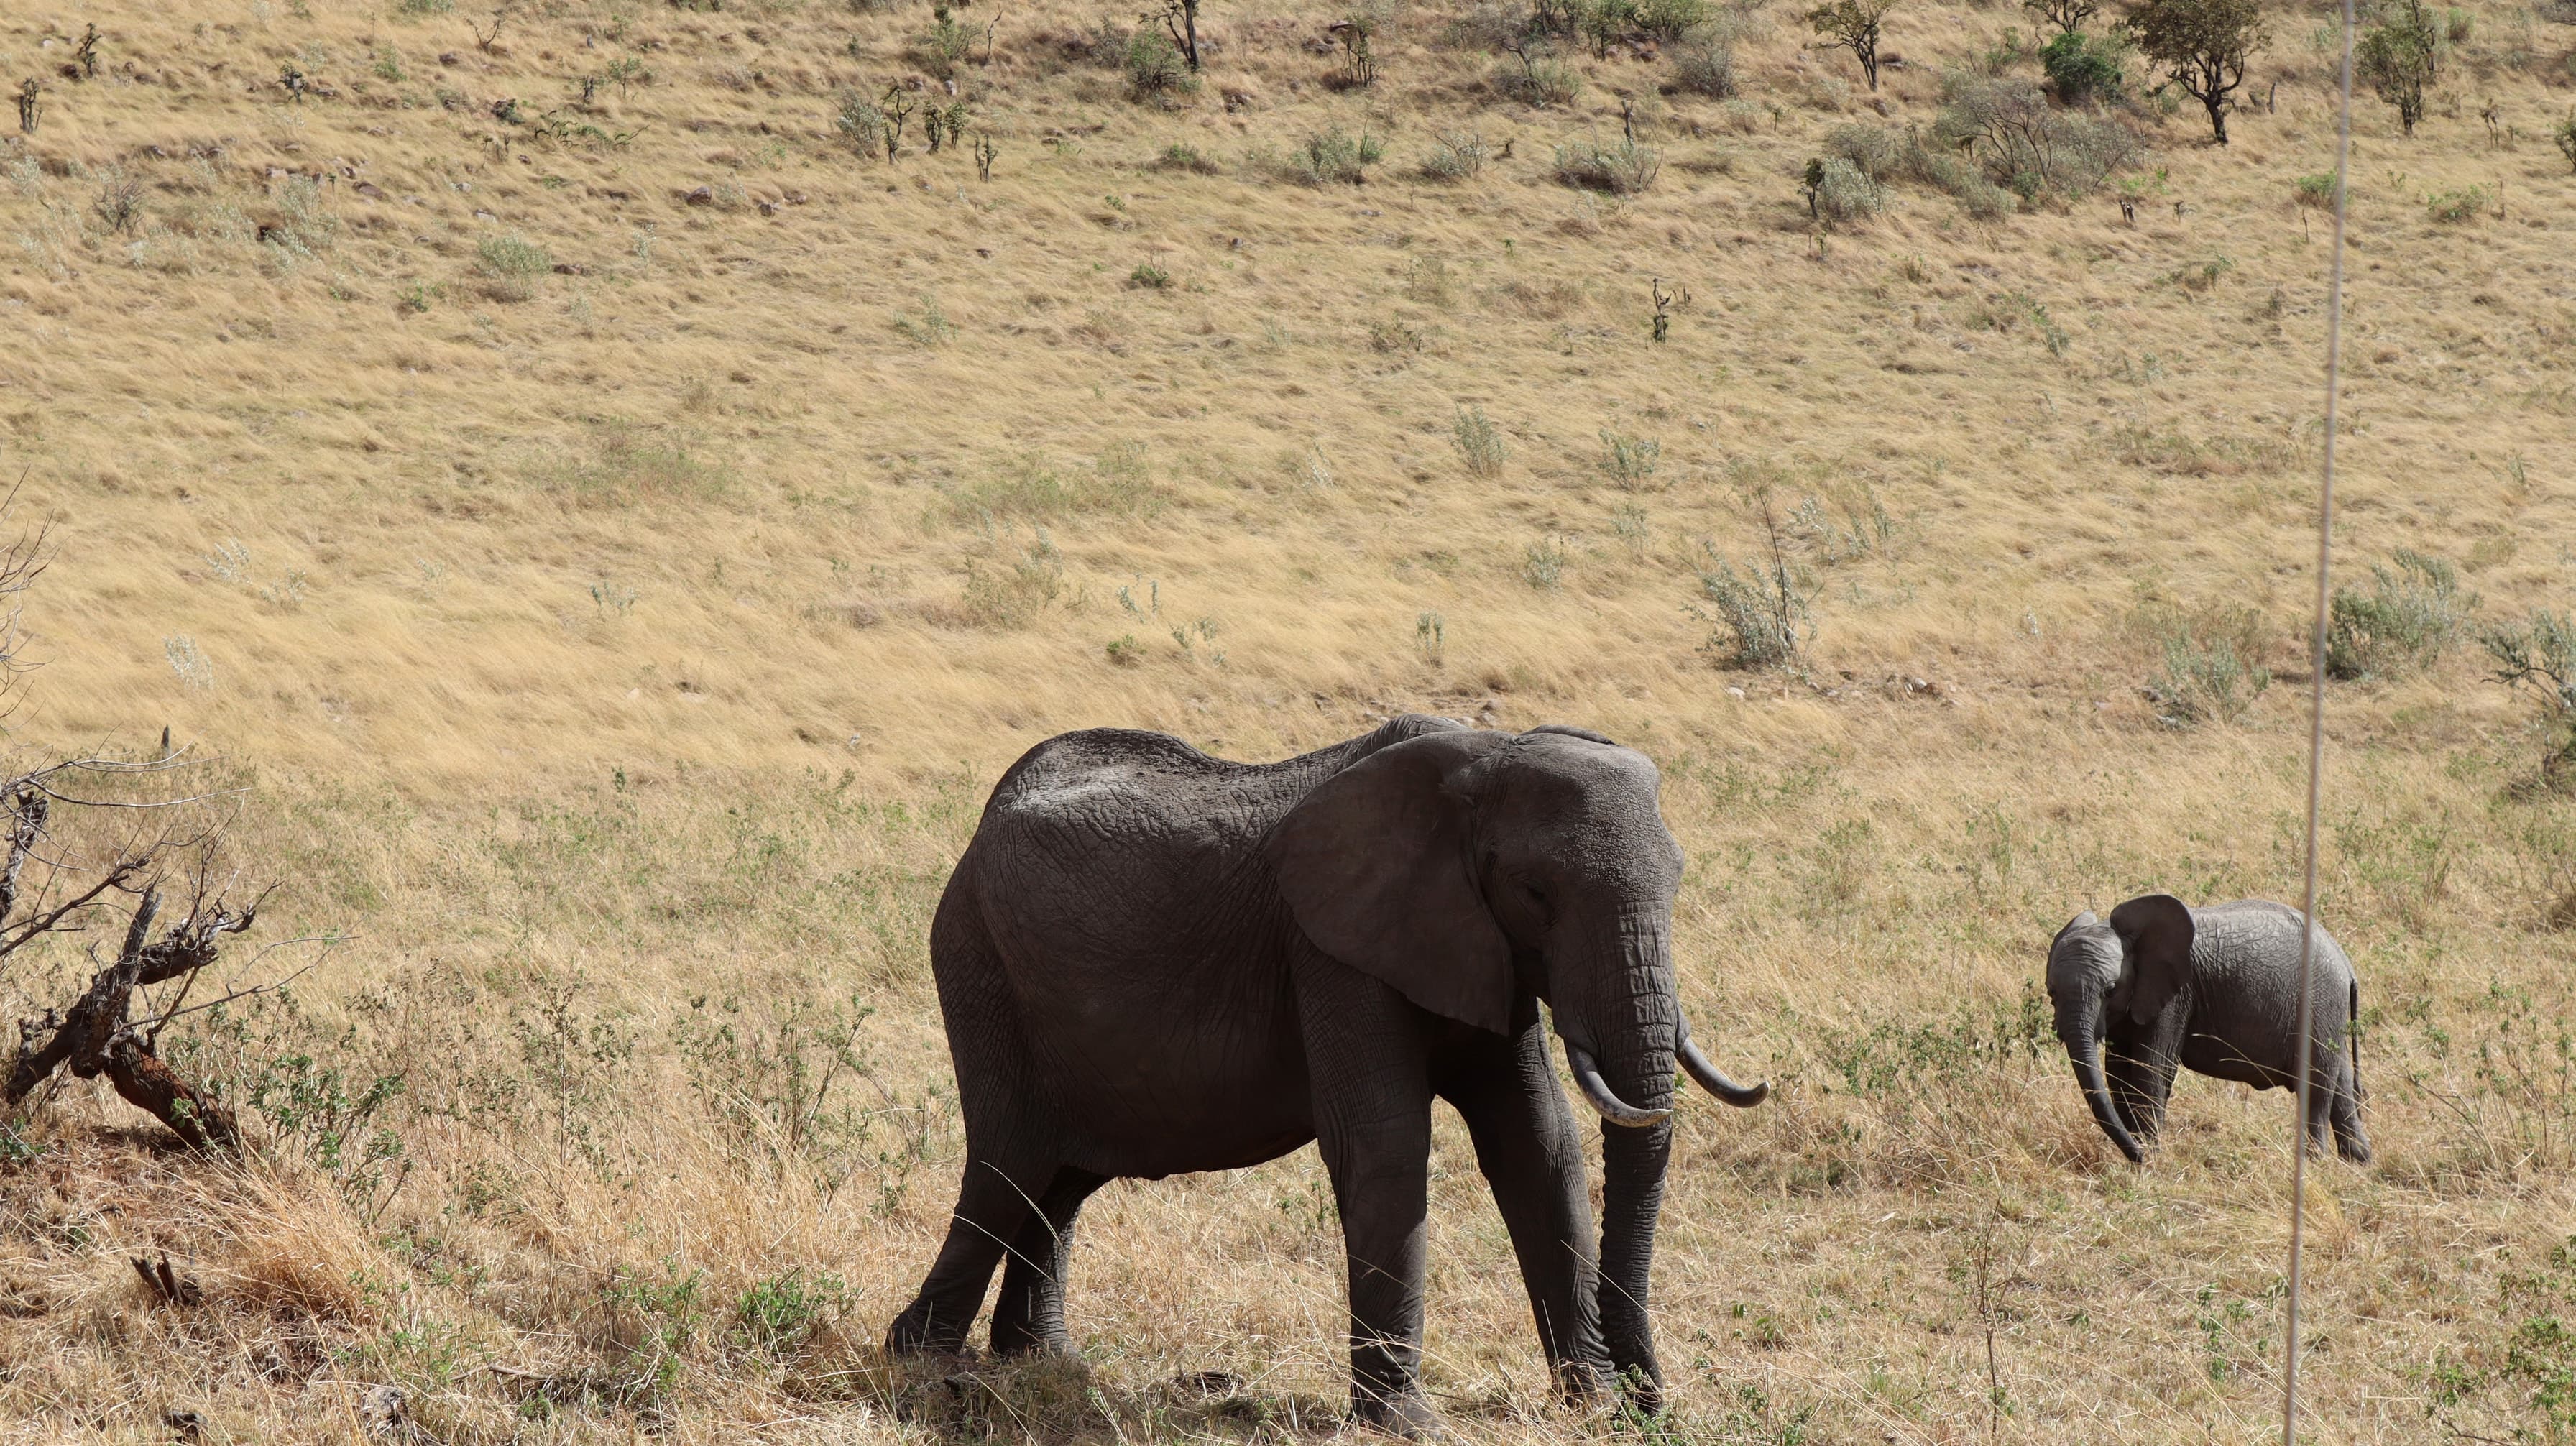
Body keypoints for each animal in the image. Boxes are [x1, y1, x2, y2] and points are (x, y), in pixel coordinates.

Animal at [884, 714, 1769, 1435]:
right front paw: (1409, 1426)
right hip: (977, 963)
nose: (1651, 1406)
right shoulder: (1333, 946)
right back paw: (923, 1364)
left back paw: (1044, 1364)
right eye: (1535, 891)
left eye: (1679, 877)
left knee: (1061, 1180)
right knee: (1006, 1167)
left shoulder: (1477, 949)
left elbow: (1535, 1140)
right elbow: (1386, 1140)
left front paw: (1591, 1406)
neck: (1482, 757)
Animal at [2046, 894, 2370, 1165]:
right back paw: (2357, 1164)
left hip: (2320, 1003)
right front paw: (2139, 1153)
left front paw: (2150, 1158)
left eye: (2110, 990)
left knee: (2316, 1086)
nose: (2140, 1157)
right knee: (2340, 1082)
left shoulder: (2176, 997)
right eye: (2052, 993)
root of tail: (2347, 965)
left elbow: (2152, 1068)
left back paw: (2313, 1164)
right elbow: (2117, 1072)